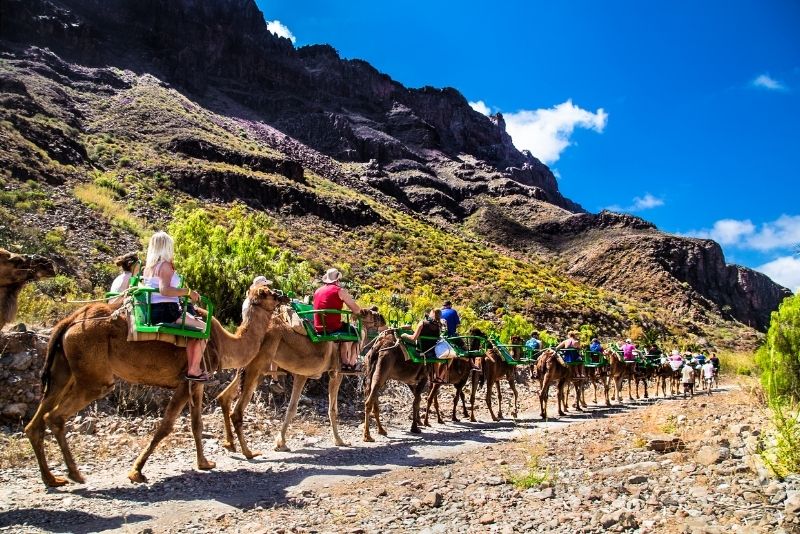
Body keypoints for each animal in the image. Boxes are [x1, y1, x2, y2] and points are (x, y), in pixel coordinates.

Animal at [25, 286, 288, 488]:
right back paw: (75, 474)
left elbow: (196, 424)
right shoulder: (187, 379)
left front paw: (204, 463)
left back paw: (52, 479)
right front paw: (136, 471)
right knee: (55, 416)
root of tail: (71, 321)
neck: (224, 343)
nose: (284, 295)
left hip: (63, 371)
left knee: (35, 422)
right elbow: (166, 426)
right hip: (94, 377)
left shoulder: (197, 382)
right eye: (270, 292)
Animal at [216, 310, 384, 456]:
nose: (382, 318)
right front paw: (340, 441)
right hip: (258, 368)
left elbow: (291, 408)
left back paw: (229, 444)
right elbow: (332, 409)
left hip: (246, 366)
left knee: (224, 397)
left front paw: (281, 443)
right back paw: (248, 452)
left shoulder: (301, 374)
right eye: (372, 314)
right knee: (237, 410)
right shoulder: (335, 373)